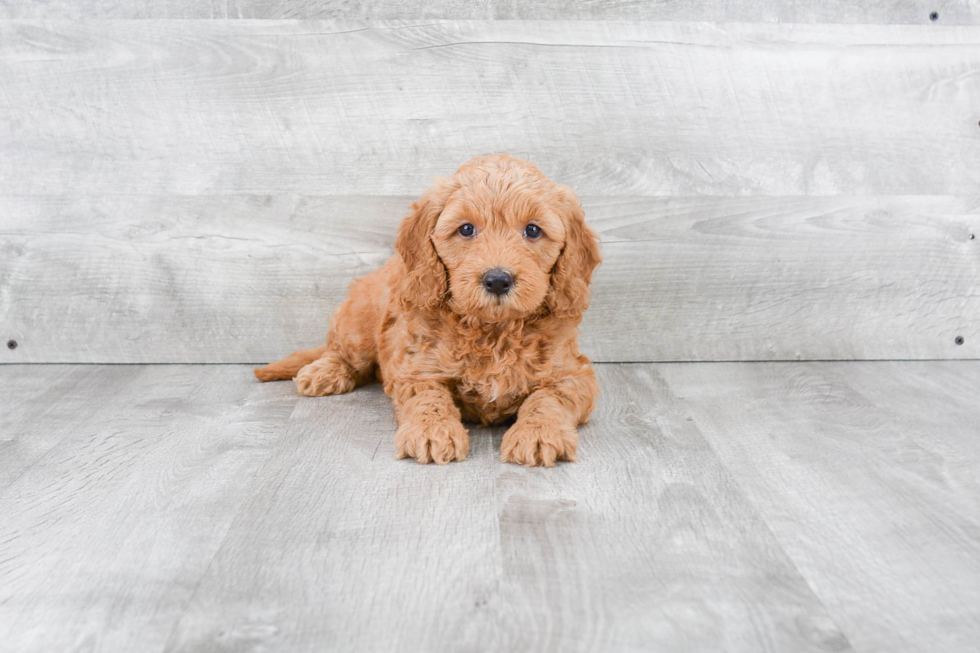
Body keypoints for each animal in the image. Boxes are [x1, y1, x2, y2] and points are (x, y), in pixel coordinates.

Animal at [256, 155, 600, 466]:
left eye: (533, 230)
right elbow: (428, 397)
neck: (493, 330)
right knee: (341, 352)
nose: (498, 280)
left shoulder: (573, 375)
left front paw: (539, 434)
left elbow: (548, 398)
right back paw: (323, 372)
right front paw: (432, 432)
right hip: (359, 322)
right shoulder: (416, 369)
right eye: (466, 229)